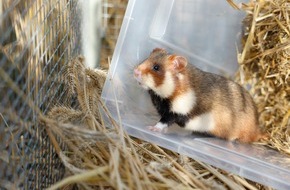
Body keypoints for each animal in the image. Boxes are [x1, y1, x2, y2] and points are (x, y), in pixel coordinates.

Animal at [134, 47, 266, 142]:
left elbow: (163, 122)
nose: (135, 71)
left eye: (156, 67)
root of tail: (258, 129)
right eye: (145, 58)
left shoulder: (176, 112)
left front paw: (151, 128)